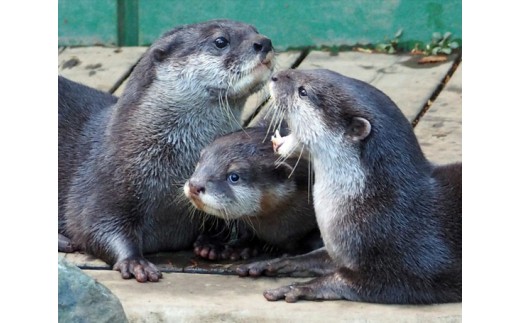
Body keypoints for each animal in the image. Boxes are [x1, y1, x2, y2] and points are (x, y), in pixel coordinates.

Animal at [57, 20, 276, 284]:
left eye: (255, 30)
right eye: (220, 41)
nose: (264, 42)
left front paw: (221, 243)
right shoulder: (102, 182)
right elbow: (91, 225)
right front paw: (135, 262)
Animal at [236, 69, 460, 306]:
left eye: (303, 91)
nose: (275, 76)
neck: (375, 202)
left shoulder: (420, 265)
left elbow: (356, 279)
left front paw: (299, 287)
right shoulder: (341, 248)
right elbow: (317, 257)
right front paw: (275, 262)